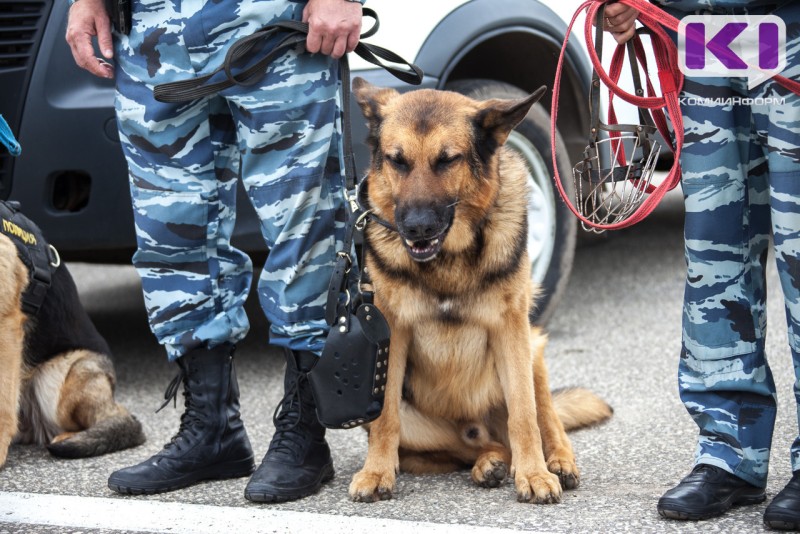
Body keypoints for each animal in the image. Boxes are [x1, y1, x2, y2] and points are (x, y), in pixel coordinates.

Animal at [346, 79, 612, 506]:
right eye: (397, 161)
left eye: (447, 160)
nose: (415, 228)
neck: (449, 258)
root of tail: (476, 426)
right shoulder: (394, 335)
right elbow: (386, 416)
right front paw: (376, 472)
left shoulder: (511, 330)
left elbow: (525, 415)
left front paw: (535, 474)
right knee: (472, 448)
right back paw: (489, 463)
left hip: (533, 347)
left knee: (545, 418)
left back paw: (556, 461)